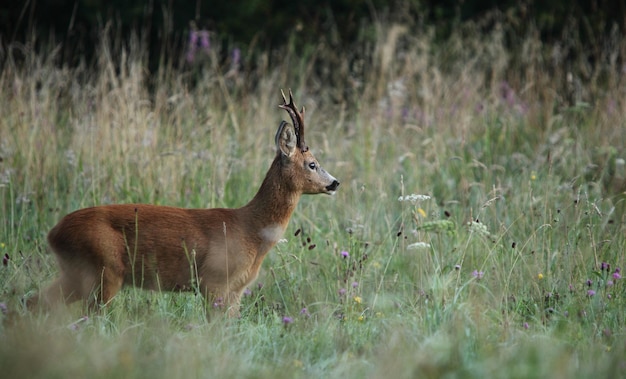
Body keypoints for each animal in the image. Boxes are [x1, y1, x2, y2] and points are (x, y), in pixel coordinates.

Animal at [29, 90, 338, 316]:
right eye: (312, 164)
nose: (335, 183)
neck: (251, 229)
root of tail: (53, 233)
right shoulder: (214, 281)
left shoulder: (236, 289)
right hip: (103, 270)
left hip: (78, 272)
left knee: (35, 301)